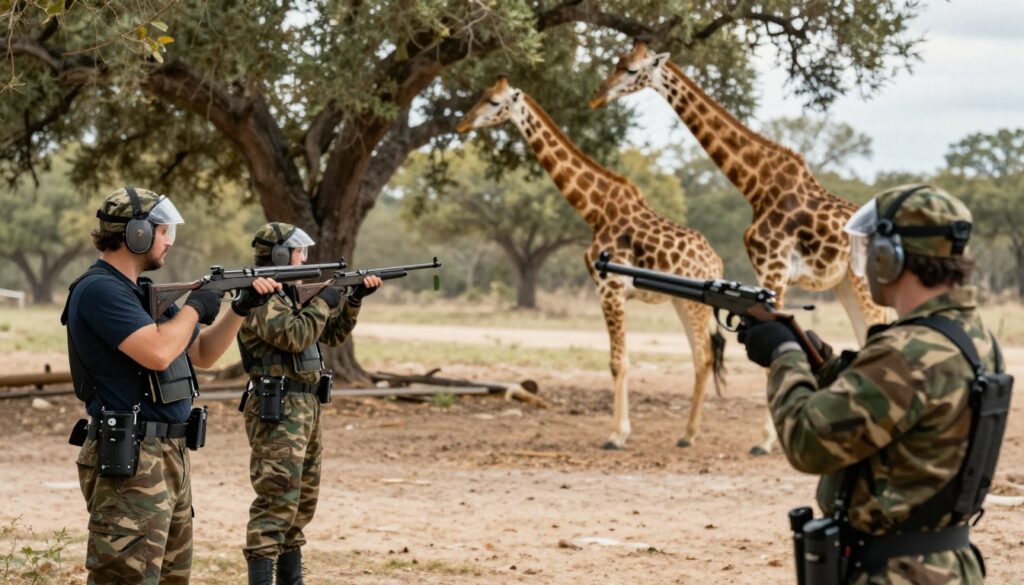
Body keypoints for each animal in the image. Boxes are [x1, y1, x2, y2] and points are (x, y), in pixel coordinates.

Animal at [457, 76, 727, 450]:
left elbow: (618, 362)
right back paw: (688, 433)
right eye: (483, 94)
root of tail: (717, 264)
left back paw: (699, 436)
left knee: (704, 355)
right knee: (702, 357)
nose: (463, 123)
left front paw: (616, 435)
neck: (594, 210)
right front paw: (621, 431)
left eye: (495, 102)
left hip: (694, 305)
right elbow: (620, 360)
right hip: (681, 302)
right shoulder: (609, 292)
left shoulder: (610, 291)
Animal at [590, 42, 889, 347]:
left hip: (862, 281)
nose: (597, 97)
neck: (757, 186)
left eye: (632, 70)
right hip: (846, 283)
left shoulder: (774, 269)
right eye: (617, 62)